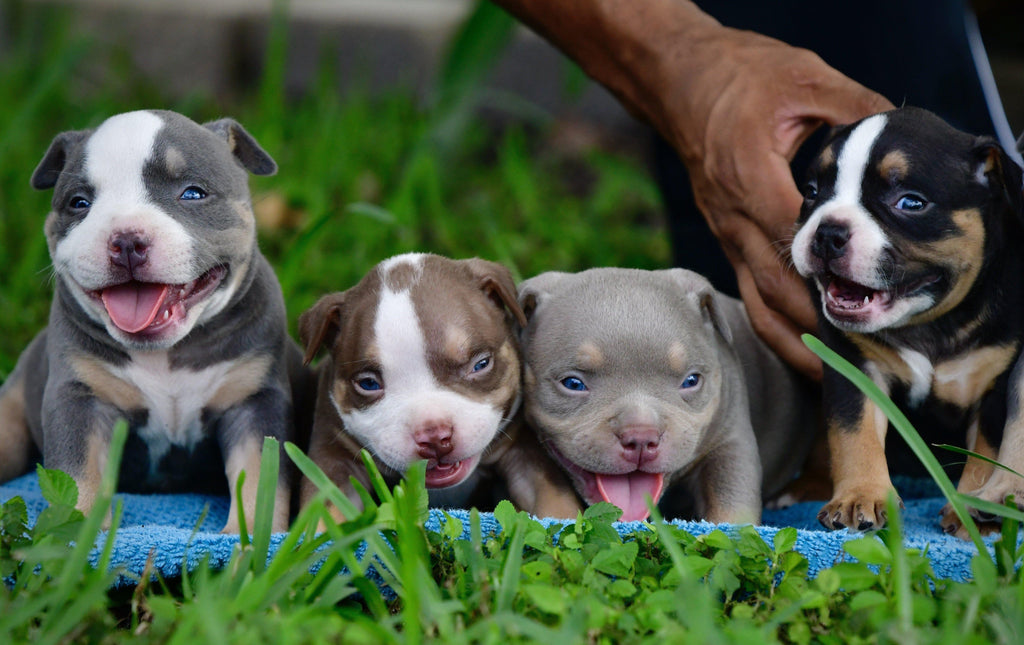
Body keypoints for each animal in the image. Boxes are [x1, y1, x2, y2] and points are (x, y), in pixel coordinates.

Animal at [0, 110, 307, 536]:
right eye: (79, 203)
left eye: (192, 194)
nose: (127, 240)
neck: (166, 354)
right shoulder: (80, 400)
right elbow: (78, 479)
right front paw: (76, 541)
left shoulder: (254, 402)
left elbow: (260, 477)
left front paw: (245, 541)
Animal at [790, 105, 1024, 536]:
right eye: (812, 192)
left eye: (911, 203)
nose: (828, 232)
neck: (929, 322)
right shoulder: (853, 366)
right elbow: (853, 433)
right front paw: (860, 496)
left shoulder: (995, 383)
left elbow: (985, 452)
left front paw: (971, 509)